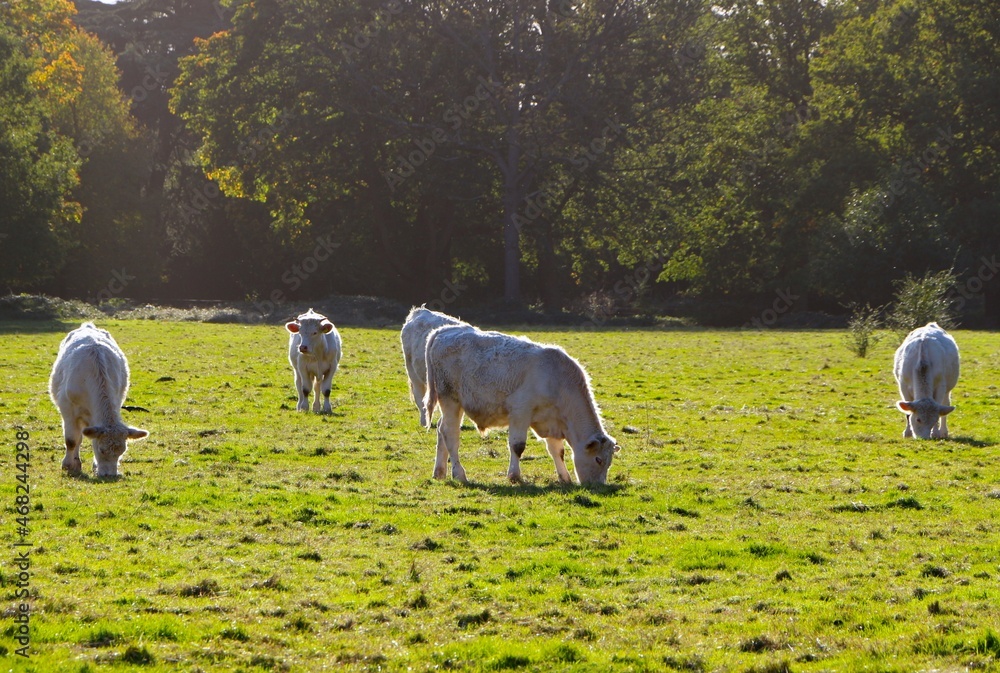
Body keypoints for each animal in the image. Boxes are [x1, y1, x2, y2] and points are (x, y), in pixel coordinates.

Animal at [48, 322, 149, 477]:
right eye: (101, 449)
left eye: (122, 451)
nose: (109, 475)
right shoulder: (68, 410)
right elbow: (71, 440)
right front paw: (69, 466)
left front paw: (94, 466)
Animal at [423, 325, 620, 485]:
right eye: (598, 460)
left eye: (609, 462)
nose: (599, 486)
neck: (557, 379)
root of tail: (445, 330)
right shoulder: (520, 412)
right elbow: (518, 446)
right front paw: (514, 476)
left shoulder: (551, 420)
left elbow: (558, 451)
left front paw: (564, 478)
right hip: (450, 400)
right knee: (450, 433)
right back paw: (459, 474)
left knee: (441, 429)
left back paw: (439, 472)